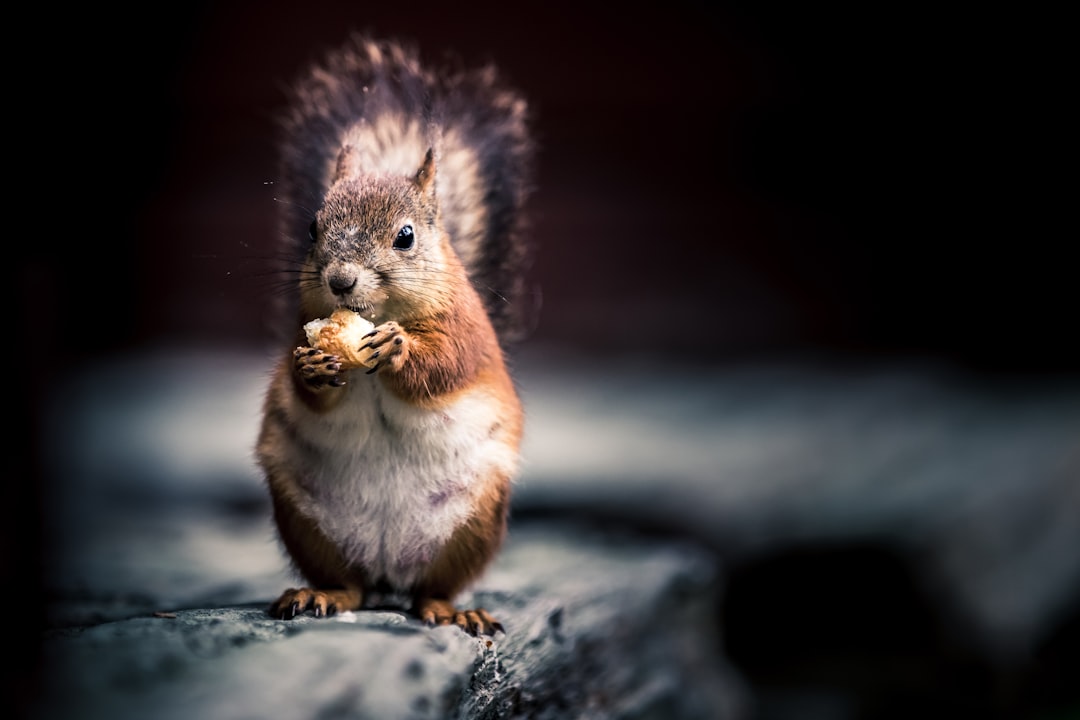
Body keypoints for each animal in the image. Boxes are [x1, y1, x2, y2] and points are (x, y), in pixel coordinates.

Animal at [257, 33, 535, 634]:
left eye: (405, 236)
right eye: (312, 228)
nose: (339, 280)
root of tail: (389, 566)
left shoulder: (468, 329)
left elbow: (448, 366)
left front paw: (399, 349)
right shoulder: (301, 321)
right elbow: (304, 384)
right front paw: (311, 367)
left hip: (472, 525)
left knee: (433, 589)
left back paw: (454, 610)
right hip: (306, 522)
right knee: (350, 586)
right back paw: (322, 594)